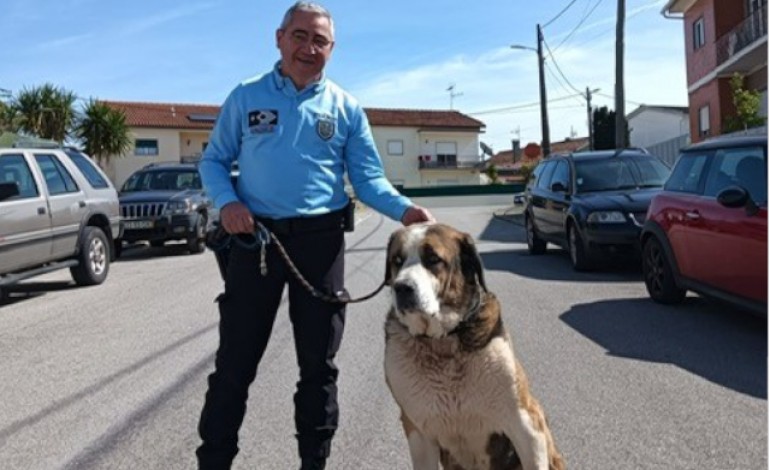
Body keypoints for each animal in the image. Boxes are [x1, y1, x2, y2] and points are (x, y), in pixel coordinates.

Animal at [380, 221, 560, 470]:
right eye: (397, 260)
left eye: (433, 259)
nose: (402, 287)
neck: (443, 341)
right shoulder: (418, 432)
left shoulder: (526, 423)